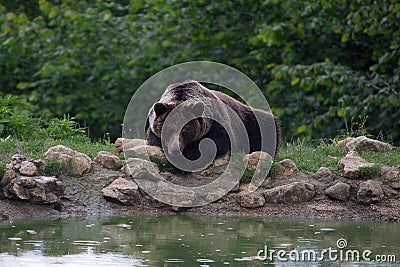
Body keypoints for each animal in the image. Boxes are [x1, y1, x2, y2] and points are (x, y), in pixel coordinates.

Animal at [147, 80, 282, 165]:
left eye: (185, 131)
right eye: (169, 130)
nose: (175, 149)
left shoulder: (217, 123)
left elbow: (216, 142)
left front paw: (191, 153)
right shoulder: (153, 129)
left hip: (249, 121)